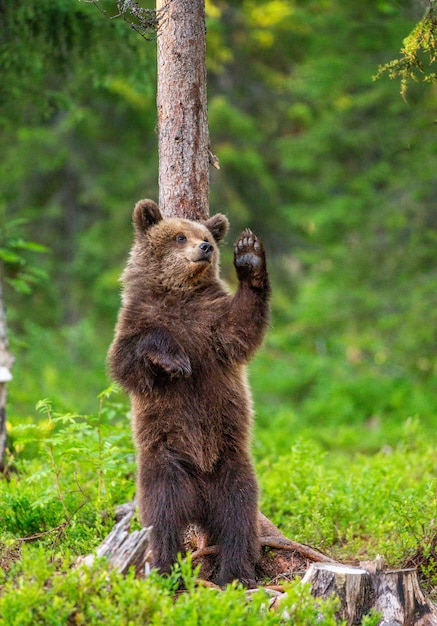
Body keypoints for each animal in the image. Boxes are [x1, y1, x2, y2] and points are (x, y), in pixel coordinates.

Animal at [108, 200, 270, 584]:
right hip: (165, 465)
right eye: (180, 236)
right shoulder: (136, 319)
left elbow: (241, 326)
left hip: (231, 465)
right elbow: (128, 359)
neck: (179, 295)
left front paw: (250, 255)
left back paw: (236, 572)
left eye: (205, 233)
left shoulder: (213, 324)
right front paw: (175, 362)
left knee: (239, 515)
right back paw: (166, 568)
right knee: (162, 518)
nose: (205, 247)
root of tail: (199, 502)